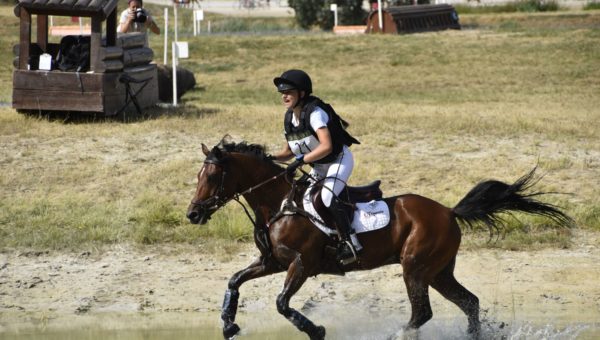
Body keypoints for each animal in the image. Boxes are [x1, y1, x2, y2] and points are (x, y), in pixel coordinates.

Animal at [188, 139, 572, 340]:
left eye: (213, 176)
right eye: (199, 176)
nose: (192, 214)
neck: (280, 203)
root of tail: (448, 211)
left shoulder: (301, 264)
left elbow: (283, 303)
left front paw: (316, 330)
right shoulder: (272, 262)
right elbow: (234, 281)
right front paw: (229, 324)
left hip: (415, 267)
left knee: (422, 312)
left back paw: (395, 336)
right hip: (438, 272)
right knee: (469, 302)